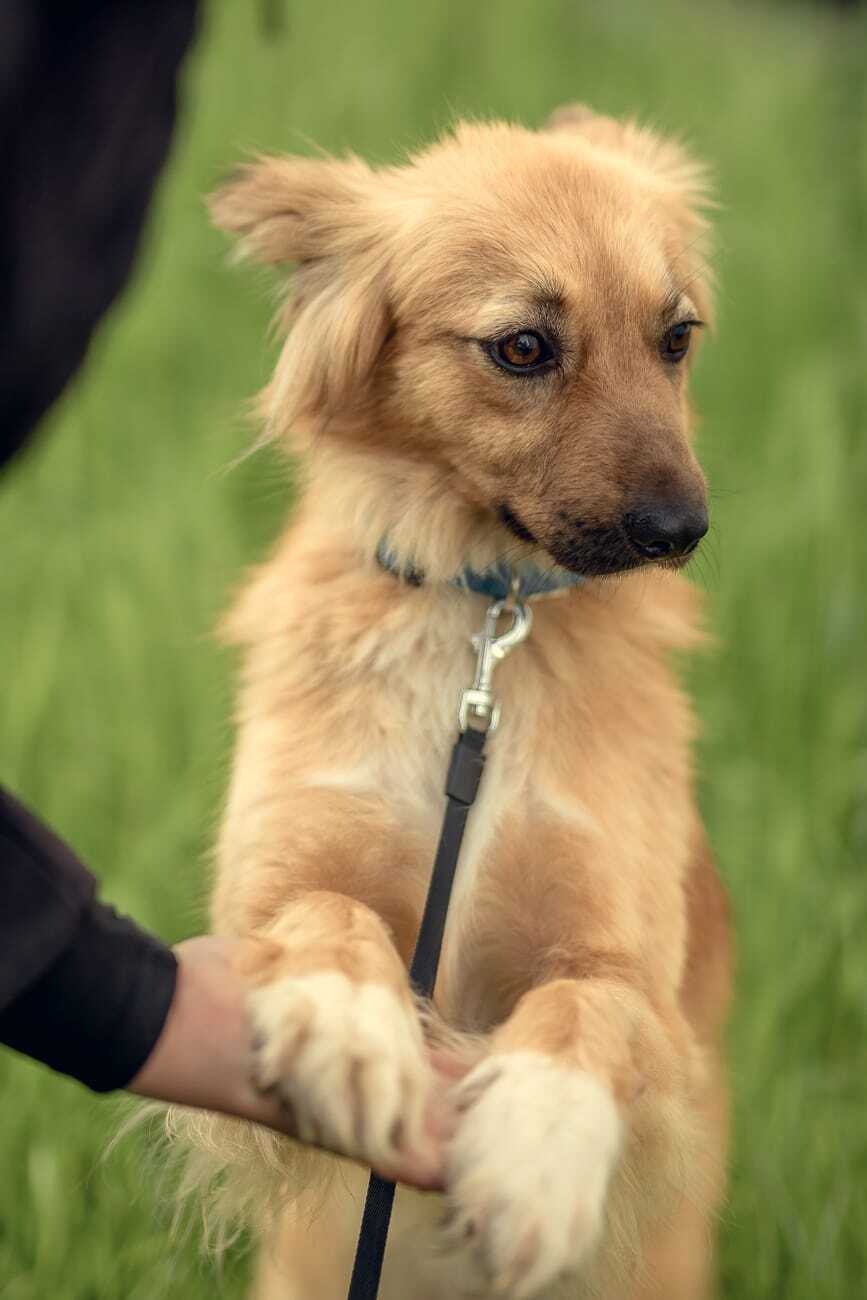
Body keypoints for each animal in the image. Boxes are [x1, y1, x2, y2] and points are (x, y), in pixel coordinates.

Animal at [200, 104, 738, 1300]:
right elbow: (325, 912)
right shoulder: (263, 892)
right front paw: (349, 1030)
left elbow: (588, 1011)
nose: (680, 531)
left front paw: (537, 1152)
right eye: (523, 347)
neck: (483, 636)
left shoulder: (641, 986)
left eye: (675, 337)